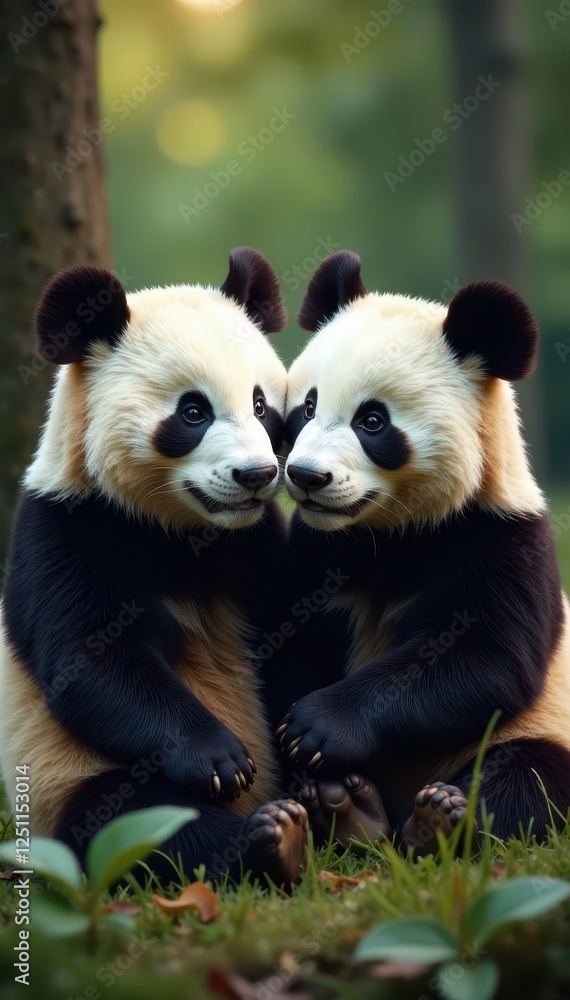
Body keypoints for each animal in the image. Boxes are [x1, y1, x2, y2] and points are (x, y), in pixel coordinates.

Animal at [0, 248, 308, 887]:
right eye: (192, 411)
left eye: (261, 405)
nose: (256, 475)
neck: (183, 530)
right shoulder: (68, 528)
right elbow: (96, 661)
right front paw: (221, 759)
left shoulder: (257, 543)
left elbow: (292, 637)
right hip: (64, 783)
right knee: (138, 820)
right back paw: (272, 838)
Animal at [277, 250, 570, 854]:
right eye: (307, 407)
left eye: (372, 421)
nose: (307, 476)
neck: (391, 532)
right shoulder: (315, 551)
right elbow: (291, 643)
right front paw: (299, 747)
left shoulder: (502, 540)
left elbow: (487, 658)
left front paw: (317, 726)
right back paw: (348, 808)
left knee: (528, 775)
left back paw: (435, 820)